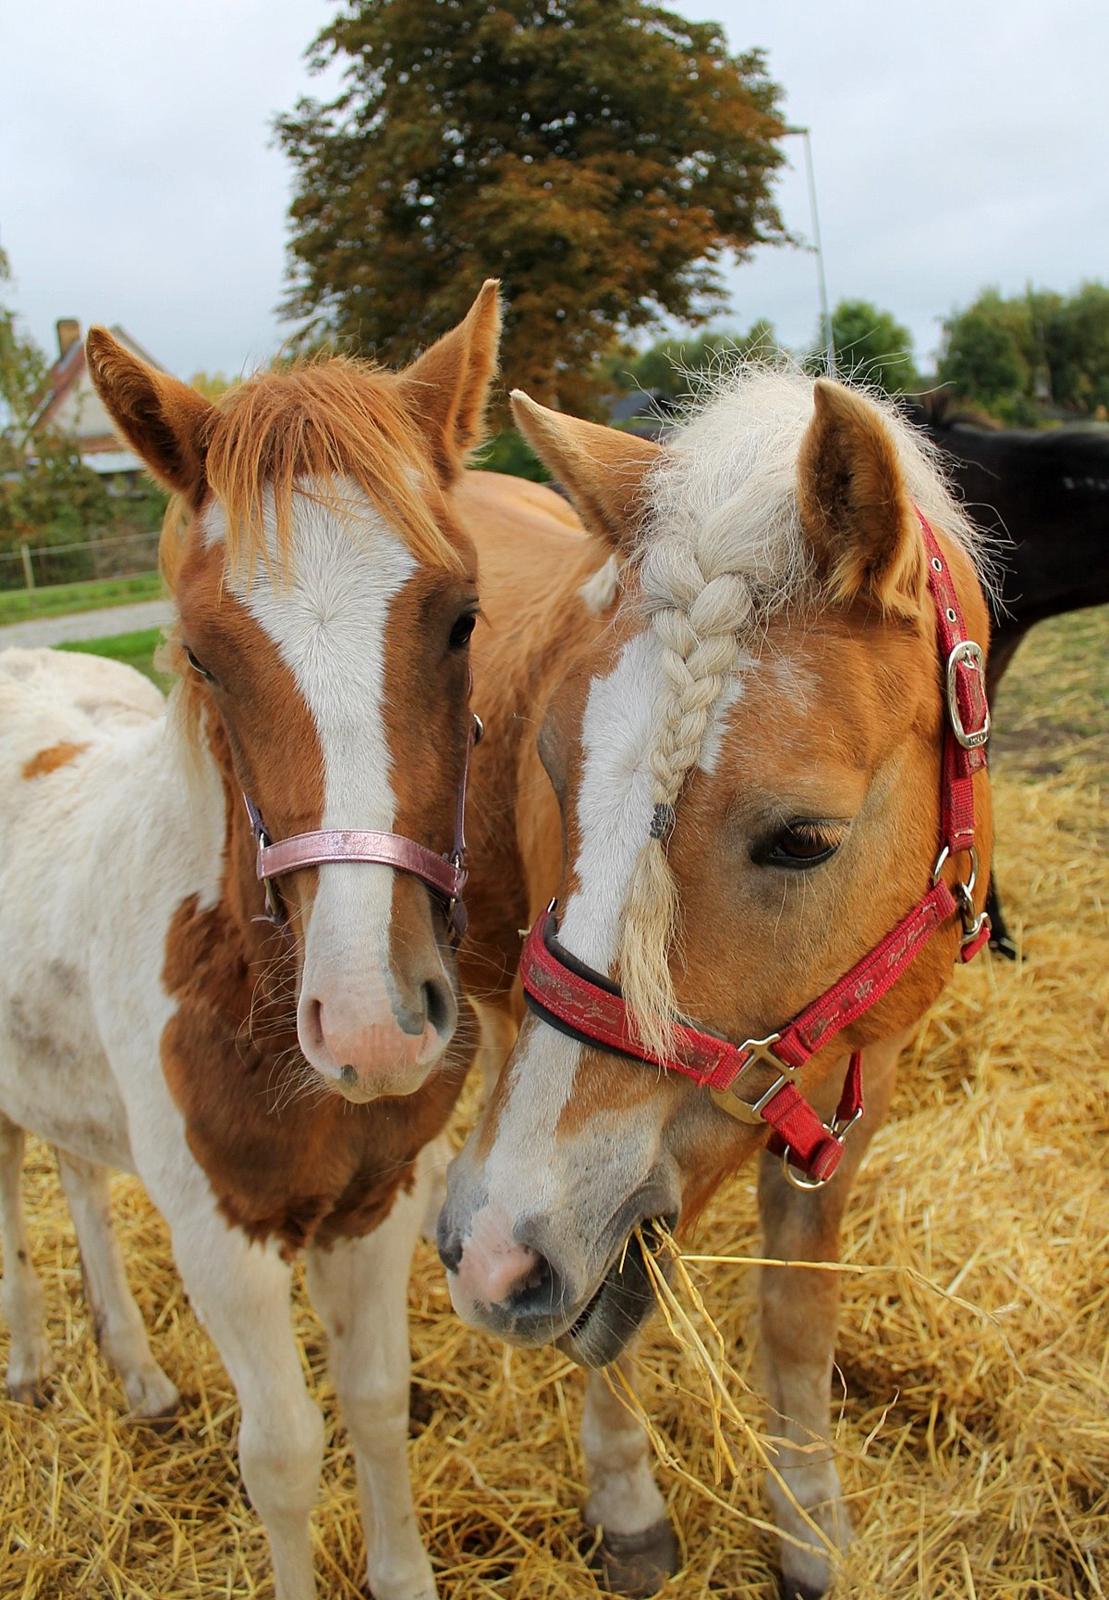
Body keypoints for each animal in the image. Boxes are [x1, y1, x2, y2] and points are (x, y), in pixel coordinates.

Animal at [0, 284, 579, 1600]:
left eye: (463, 617)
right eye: (202, 653)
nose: (373, 1025)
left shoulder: (375, 1205)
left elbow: (371, 1406)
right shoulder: (222, 1240)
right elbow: (283, 1455)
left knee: (73, 1174)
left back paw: (138, 1374)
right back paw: (35, 1364)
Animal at [441, 371, 992, 1587]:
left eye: (802, 839)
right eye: (548, 765)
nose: (491, 1251)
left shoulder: (856, 1095)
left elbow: (793, 1315)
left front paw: (809, 1528)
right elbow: (599, 1323)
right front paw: (626, 1503)